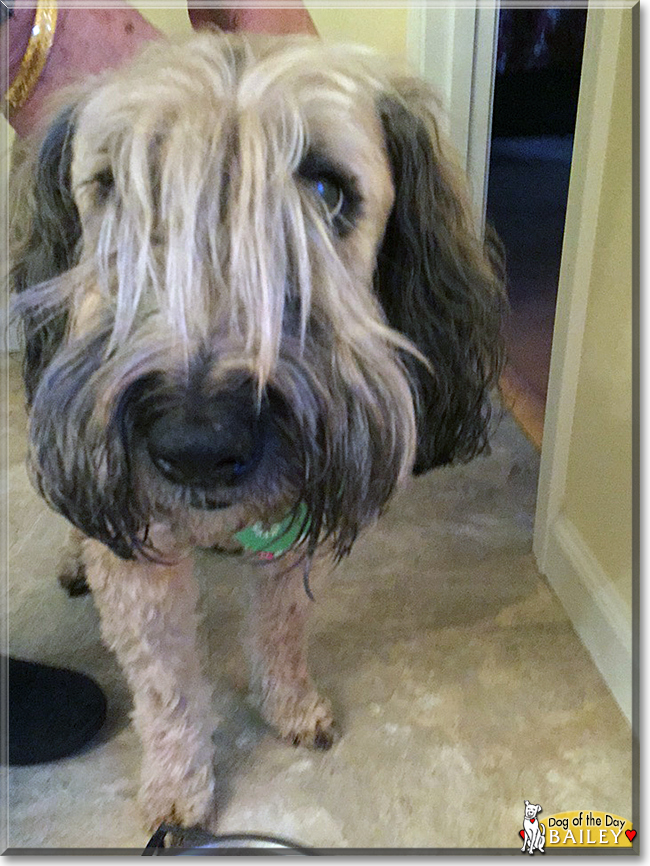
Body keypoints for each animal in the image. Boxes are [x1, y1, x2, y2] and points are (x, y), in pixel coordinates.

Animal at [11, 32, 506, 832]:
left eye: (326, 190)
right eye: (116, 186)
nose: (198, 447)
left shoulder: (300, 528)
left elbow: (282, 627)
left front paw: (290, 704)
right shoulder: (139, 571)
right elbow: (167, 687)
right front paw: (179, 789)